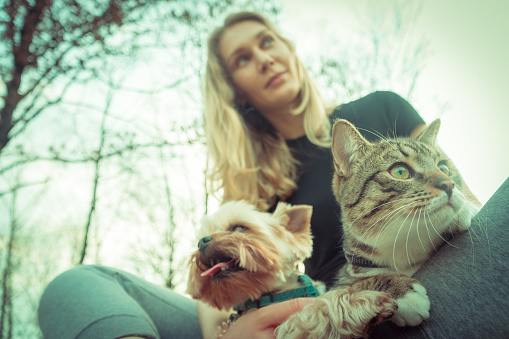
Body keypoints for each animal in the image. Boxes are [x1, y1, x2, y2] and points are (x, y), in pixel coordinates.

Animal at [330, 119, 480, 326]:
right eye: (400, 171)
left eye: (444, 168)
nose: (449, 184)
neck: (406, 249)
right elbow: (355, 286)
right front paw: (401, 292)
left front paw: (463, 211)